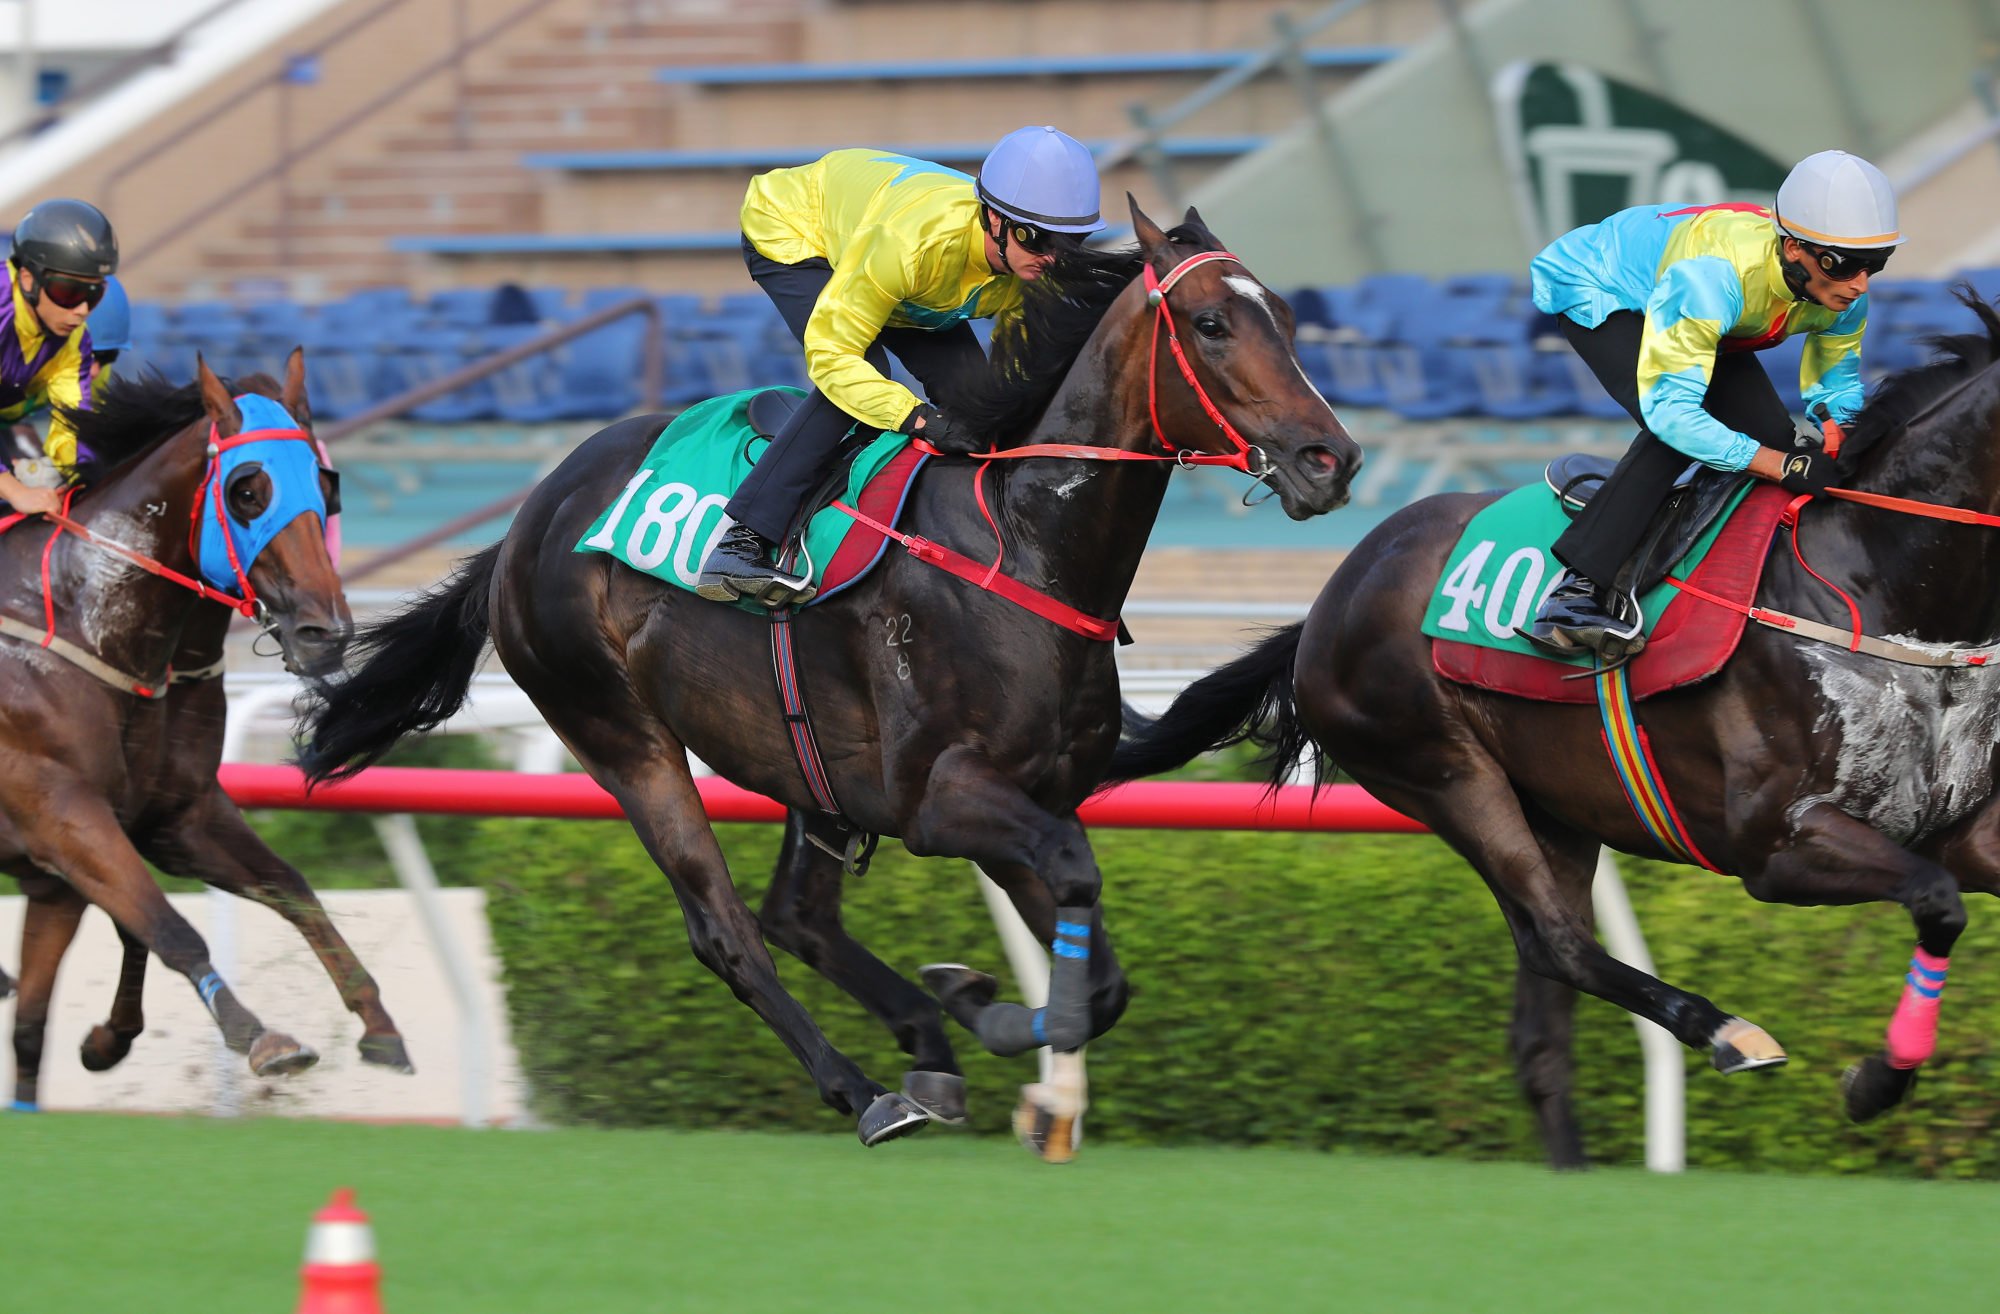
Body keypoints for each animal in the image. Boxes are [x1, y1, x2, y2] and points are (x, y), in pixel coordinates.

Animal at [2, 356, 410, 1104]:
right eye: (248, 490)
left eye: (327, 487)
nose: (326, 634)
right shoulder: (59, 811)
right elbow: (166, 925)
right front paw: (260, 1036)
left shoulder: (170, 820)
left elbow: (288, 887)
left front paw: (378, 1024)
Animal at [296, 200, 1360, 1144]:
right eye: (1213, 324)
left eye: (1288, 318)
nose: (1332, 459)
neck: (1023, 547)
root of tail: (527, 520)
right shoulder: (942, 799)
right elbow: (1072, 883)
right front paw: (988, 1011)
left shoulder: (1037, 794)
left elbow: (1101, 975)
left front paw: (986, 1021)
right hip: (620, 736)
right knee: (728, 930)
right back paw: (865, 1091)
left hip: (809, 766)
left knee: (796, 916)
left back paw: (923, 1048)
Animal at [1112, 292, 2000, 1160]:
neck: (1887, 591)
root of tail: (1333, 597)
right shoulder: (1774, 846)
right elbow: (1937, 899)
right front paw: (1877, 1082)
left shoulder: (1961, 828)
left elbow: (1950, 891)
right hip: (1444, 773)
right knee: (1557, 942)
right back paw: (1725, 1032)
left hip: (1562, 812)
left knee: (1542, 1028)